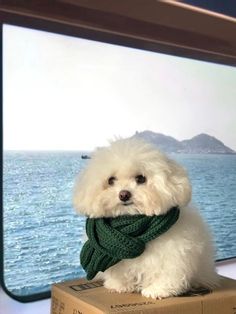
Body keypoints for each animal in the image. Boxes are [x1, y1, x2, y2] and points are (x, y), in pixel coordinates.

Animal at [74, 138, 219, 300]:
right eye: (111, 180)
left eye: (141, 178)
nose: (124, 194)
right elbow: (120, 273)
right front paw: (120, 285)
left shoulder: (175, 254)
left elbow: (169, 274)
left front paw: (158, 290)